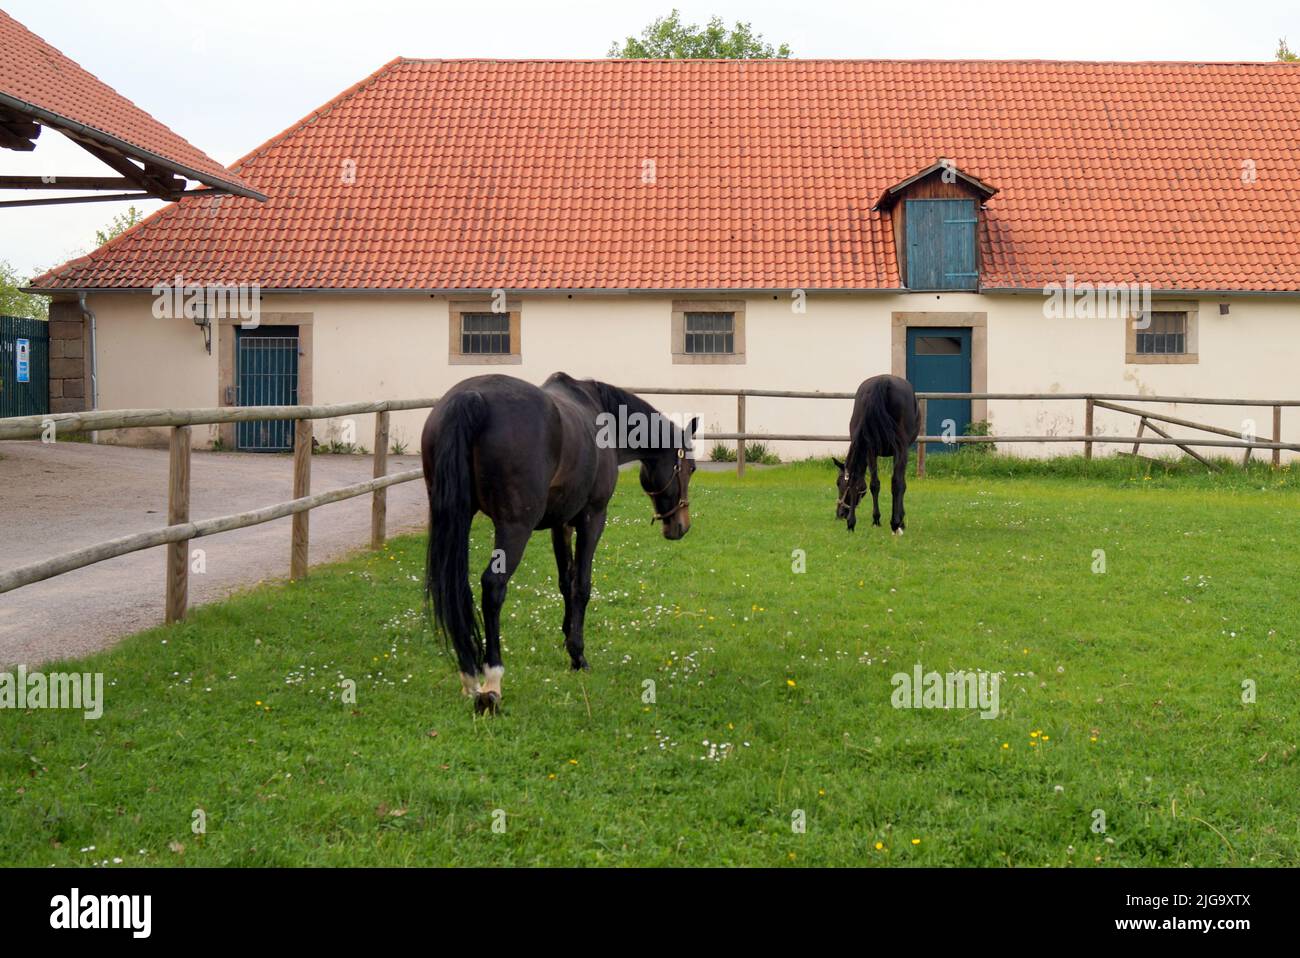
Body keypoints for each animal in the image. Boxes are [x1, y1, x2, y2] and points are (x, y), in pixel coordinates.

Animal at [421, 372, 697, 714]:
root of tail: (471, 398)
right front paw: (578, 655)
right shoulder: (593, 518)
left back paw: (469, 674)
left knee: (456, 586)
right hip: (514, 528)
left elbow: (566, 582)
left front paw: (568, 642)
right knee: (493, 587)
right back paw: (491, 682)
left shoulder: (560, 524)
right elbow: (582, 585)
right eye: (690, 468)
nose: (681, 526)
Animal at [833, 375, 921, 534]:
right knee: (896, 482)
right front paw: (897, 519)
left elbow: (873, 484)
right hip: (899, 449)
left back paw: (852, 523)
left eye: (838, 482)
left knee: (861, 480)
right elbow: (900, 483)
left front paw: (876, 519)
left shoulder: (870, 451)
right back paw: (895, 523)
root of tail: (884, 381)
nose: (840, 513)